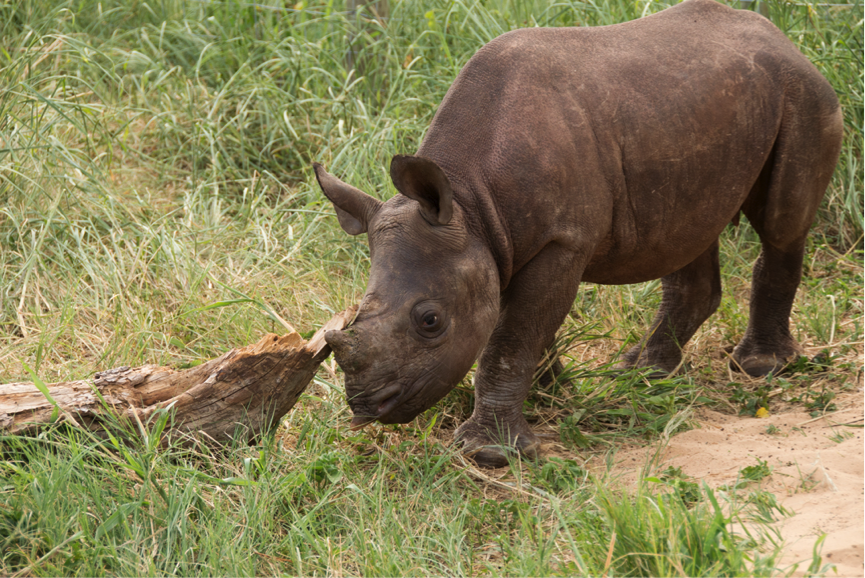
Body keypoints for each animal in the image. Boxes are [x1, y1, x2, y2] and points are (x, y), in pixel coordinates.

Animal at [313, 0, 843, 467]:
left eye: (430, 321)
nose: (367, 406)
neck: (469, 199)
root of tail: (782, 39)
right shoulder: (504, 242)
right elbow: (520, 326)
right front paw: (551, 392)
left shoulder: (560, 240)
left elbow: (513, 334)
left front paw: (492, 454)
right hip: (697, 113)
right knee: (689, 231)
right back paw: (644, 373)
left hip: (803, 93)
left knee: (781, 223)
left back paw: (760, 368)